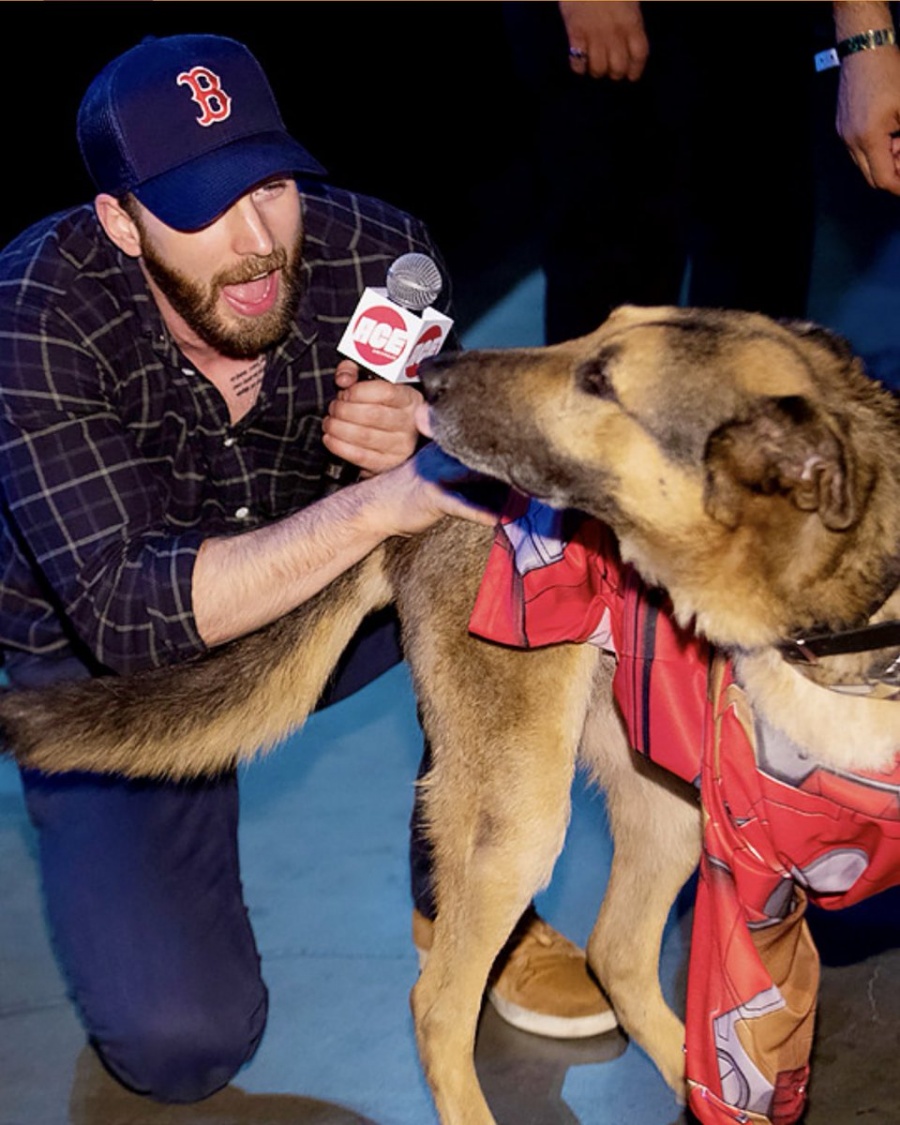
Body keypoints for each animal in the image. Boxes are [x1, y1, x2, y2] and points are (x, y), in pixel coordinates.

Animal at [1, 306, 900, 1125]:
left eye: (600, 380)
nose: (430, 377)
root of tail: (412, 490)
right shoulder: (751, 898)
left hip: (667, 799)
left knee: (615, 950)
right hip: (525, 811)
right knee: (439, 1004)